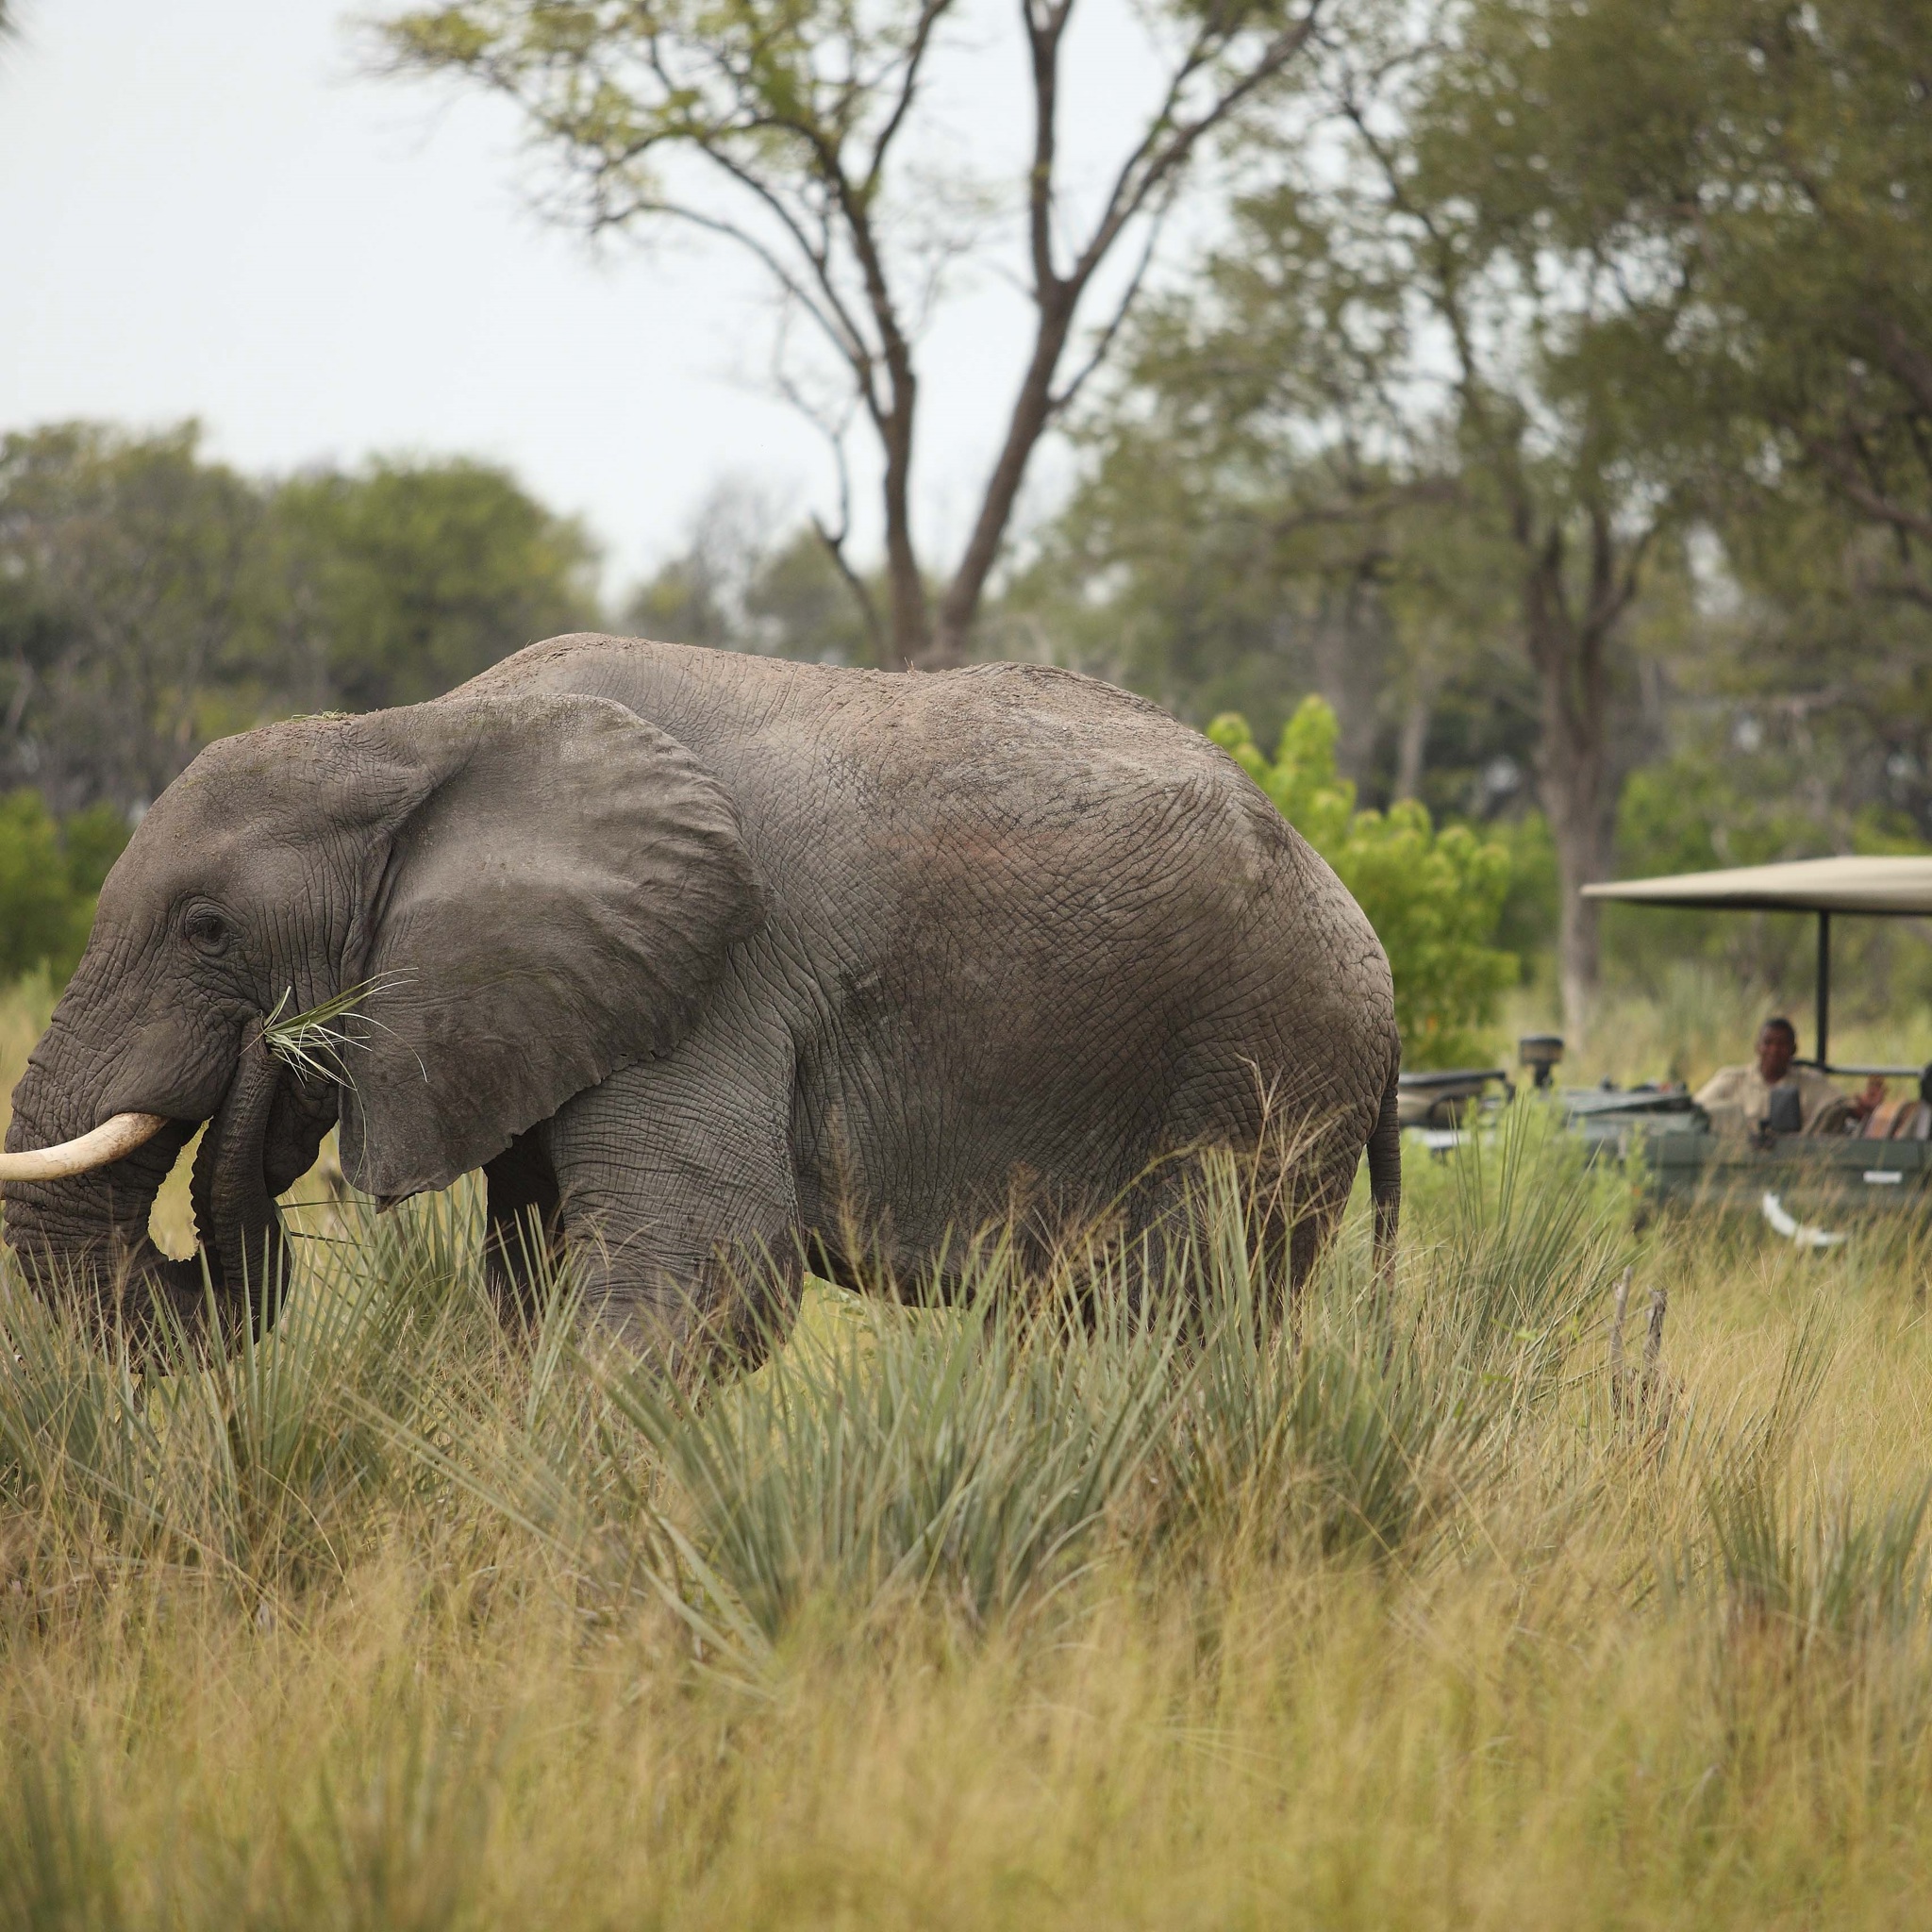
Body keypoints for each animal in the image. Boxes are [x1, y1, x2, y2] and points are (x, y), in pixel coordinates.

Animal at [1, 634, 1401, 1360]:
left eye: (205, 928)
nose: (274, 1053)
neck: (417, 732)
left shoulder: (714, 978)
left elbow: (707, 1279)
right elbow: (531, 1286)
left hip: (1272, 1065)